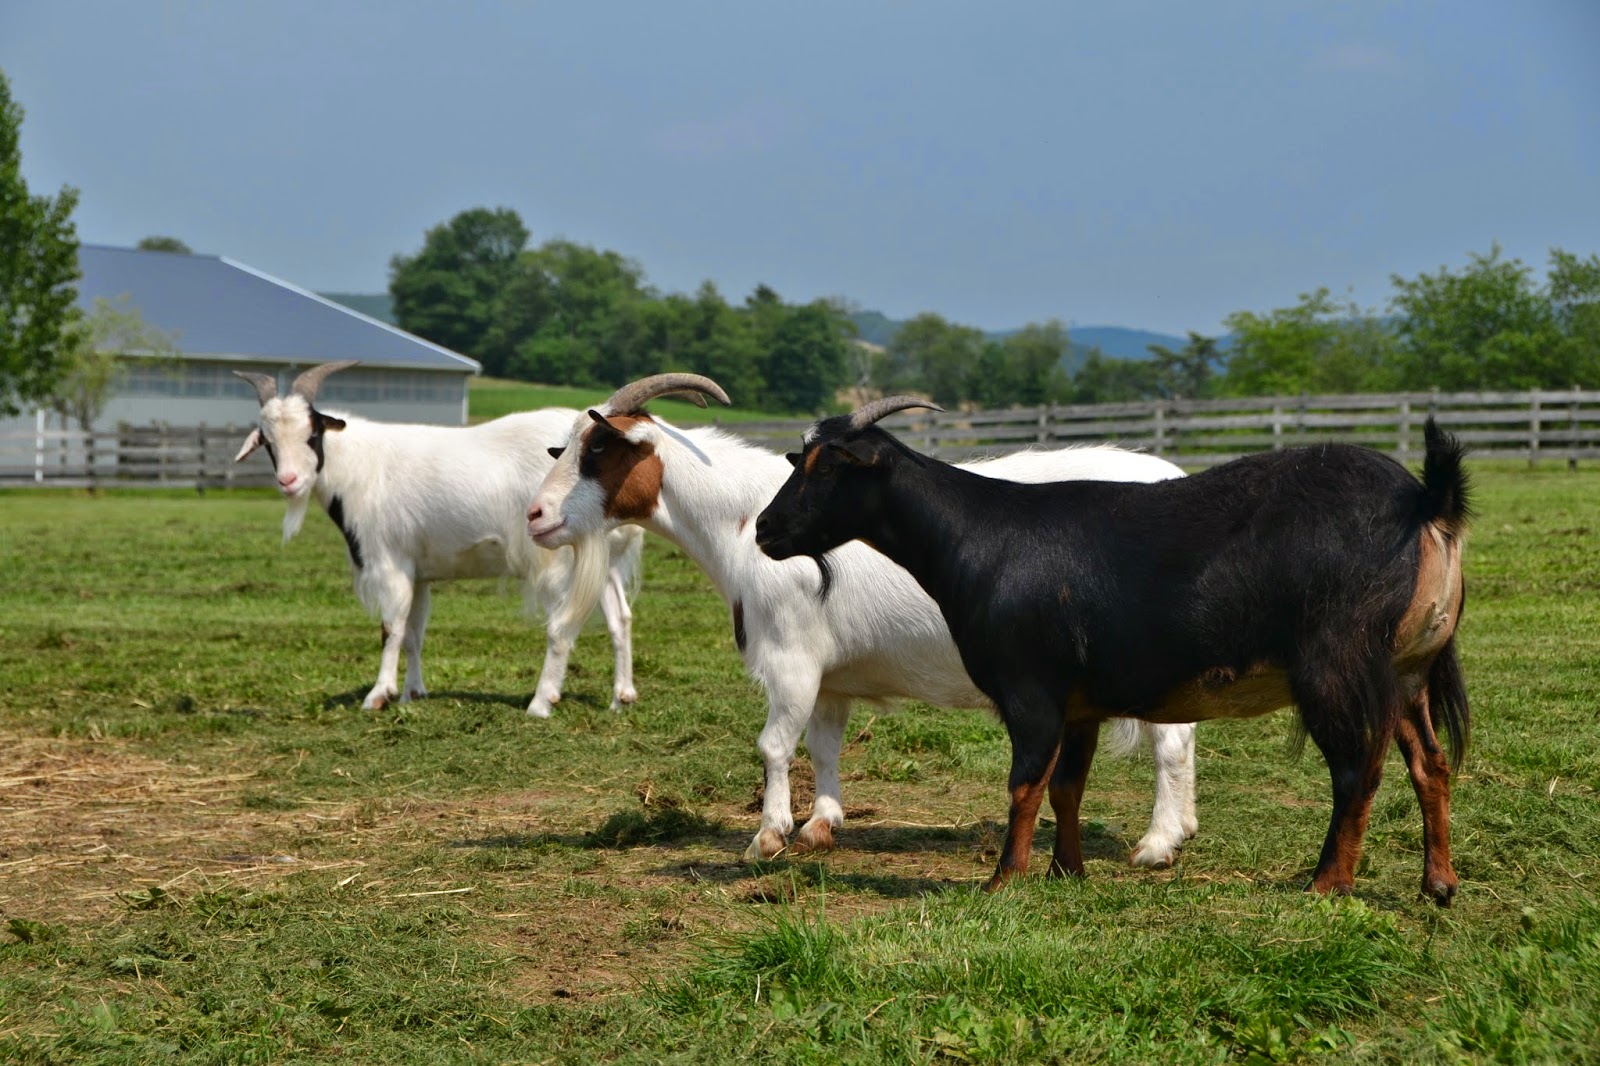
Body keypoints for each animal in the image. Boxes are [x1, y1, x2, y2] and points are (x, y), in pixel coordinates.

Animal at [232, 360, 644, 716]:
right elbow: (414, 632)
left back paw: (543, 701)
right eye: (267, 440)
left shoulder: (390, 562)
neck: (361, 468)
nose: (288, 481)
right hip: (601, 559)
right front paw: (412, 693)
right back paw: (621, 696)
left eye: (312, 433)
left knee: (561, 625)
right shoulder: (418, 572)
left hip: (556, 558)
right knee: (620, 618)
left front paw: (378, 695)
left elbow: (390, 627)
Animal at [526, 374, 1202, 867]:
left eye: (599, 450)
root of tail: (1176, 478)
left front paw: (765, 837)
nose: (535, 516)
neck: (742, 522)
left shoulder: (792, 657)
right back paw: (1184, 827)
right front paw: (820, 825)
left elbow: (773, 744)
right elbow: (823, 745)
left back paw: (1156, 845)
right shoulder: (831, 675)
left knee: (1170, 743)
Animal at [754, 396, 1471, 904]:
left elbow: (1024, 783)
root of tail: (1425, 500)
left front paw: (1003, 880)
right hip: (1407, 669)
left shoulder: (1032, 690)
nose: (763, 529)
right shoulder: (1081, 702)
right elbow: (1067, 787)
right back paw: (1437, 885)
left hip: (1337, 665)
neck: (981, 537)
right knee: (1430, 763)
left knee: (1357, 771)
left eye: (830, 466)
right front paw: (1065, 872)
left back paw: (1327, 884)